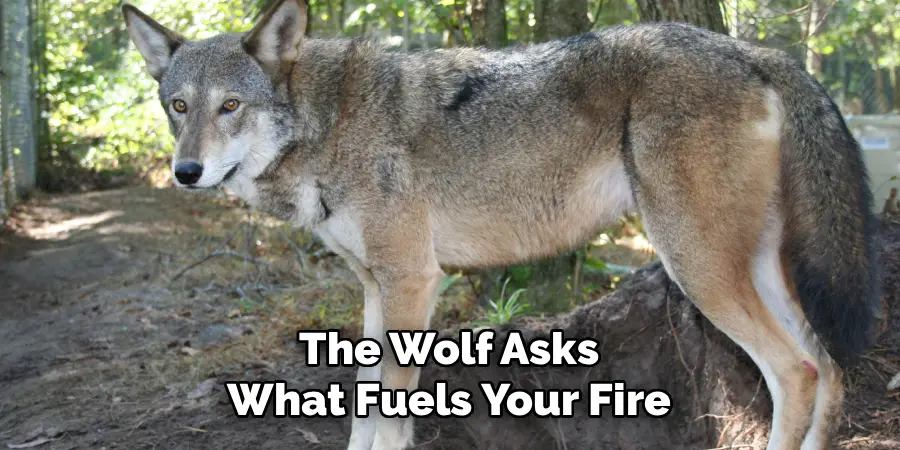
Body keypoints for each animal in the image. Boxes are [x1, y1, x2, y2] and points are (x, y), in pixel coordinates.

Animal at [122, 0, 880, 449]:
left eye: (230, 107)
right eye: (178, 106)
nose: (185, 171)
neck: (326, 124)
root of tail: (752, 51)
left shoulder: (412, 282)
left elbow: (389, 419)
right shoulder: (374, 289)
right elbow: (364, 413)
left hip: (696, 266)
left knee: (797, 371)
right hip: (754, 268)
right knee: (829, 366)